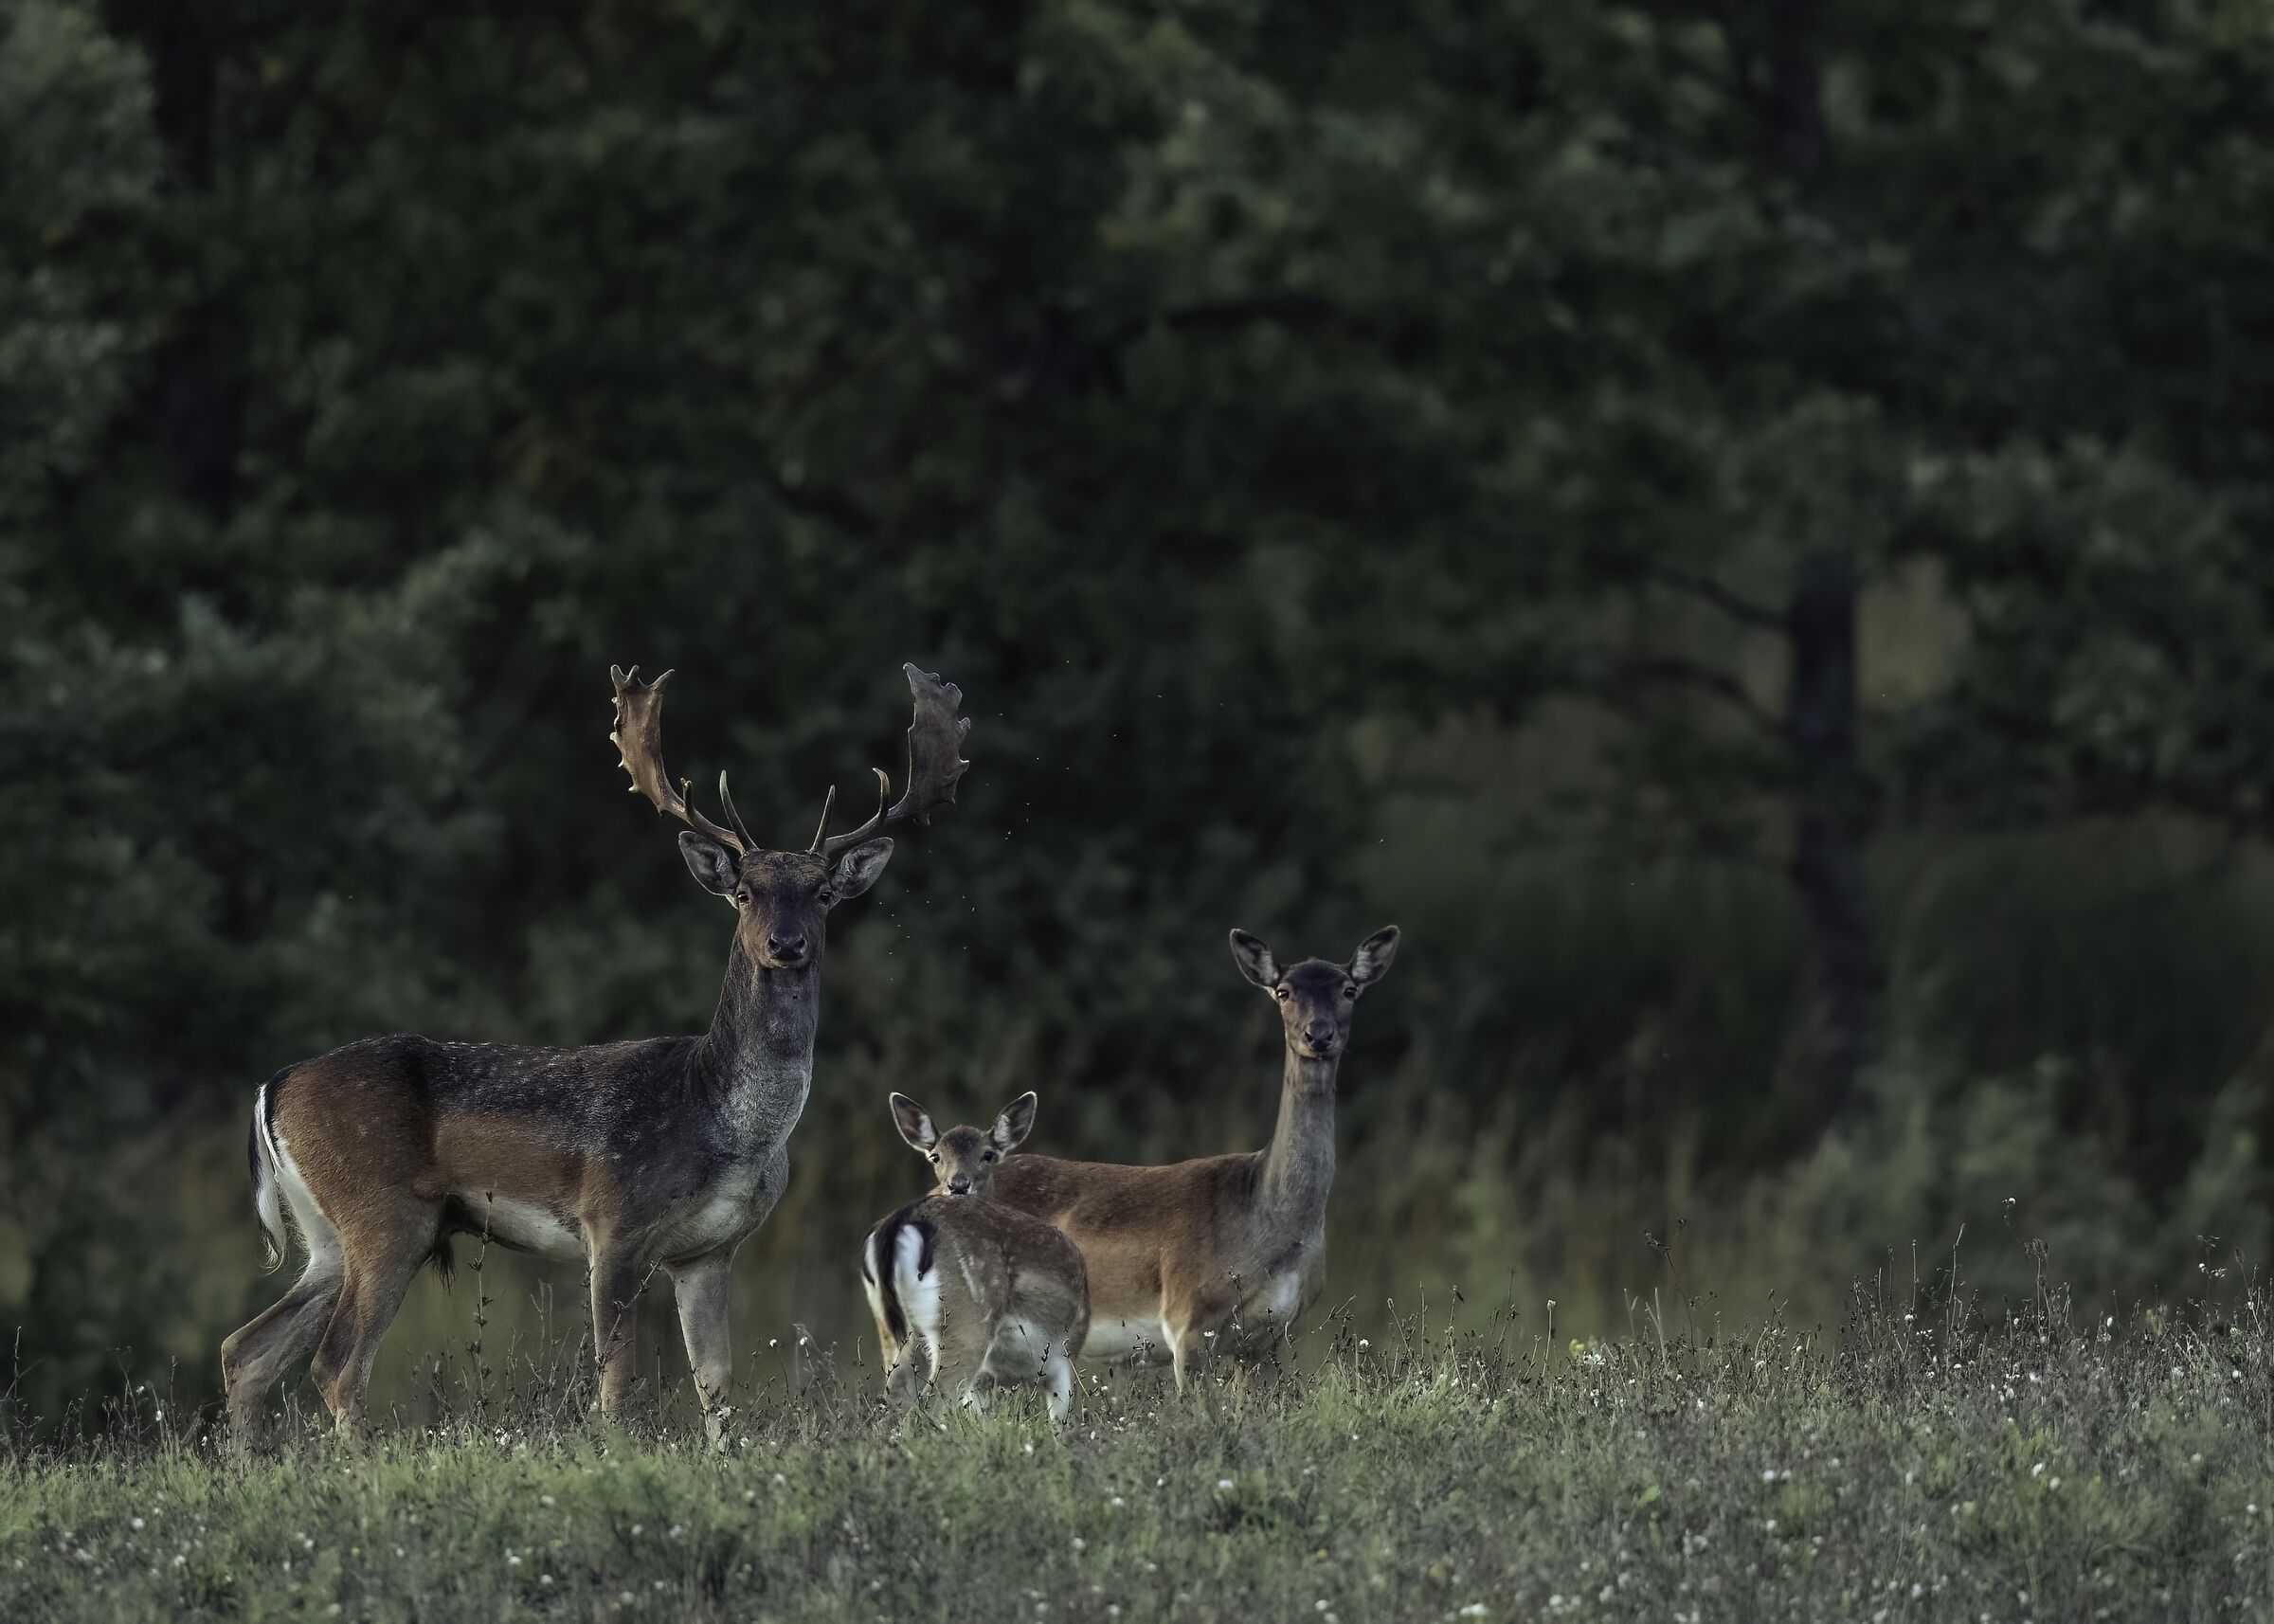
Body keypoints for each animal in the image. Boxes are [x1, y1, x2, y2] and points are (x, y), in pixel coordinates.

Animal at [219, 662, 971, 1445]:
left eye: (823, 893)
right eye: (743, 891)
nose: (785, 943)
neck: (725, 1124)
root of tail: (272, 1087)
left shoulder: (710, 1250)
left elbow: (716, 1384)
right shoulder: (613, 1223)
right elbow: (616, 1385)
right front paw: (616, 1453)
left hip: (327, 1237)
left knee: (247, 1349)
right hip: (385, 1215)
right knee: (336, 1364)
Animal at [860, 1091, 1088, 1419]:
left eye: (988, 1155)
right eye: (936, 1157)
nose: (958, 1185)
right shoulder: (1061, 1358)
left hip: (891, 1326)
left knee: (892, 1398)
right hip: (966, 1320)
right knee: (931, 1401)